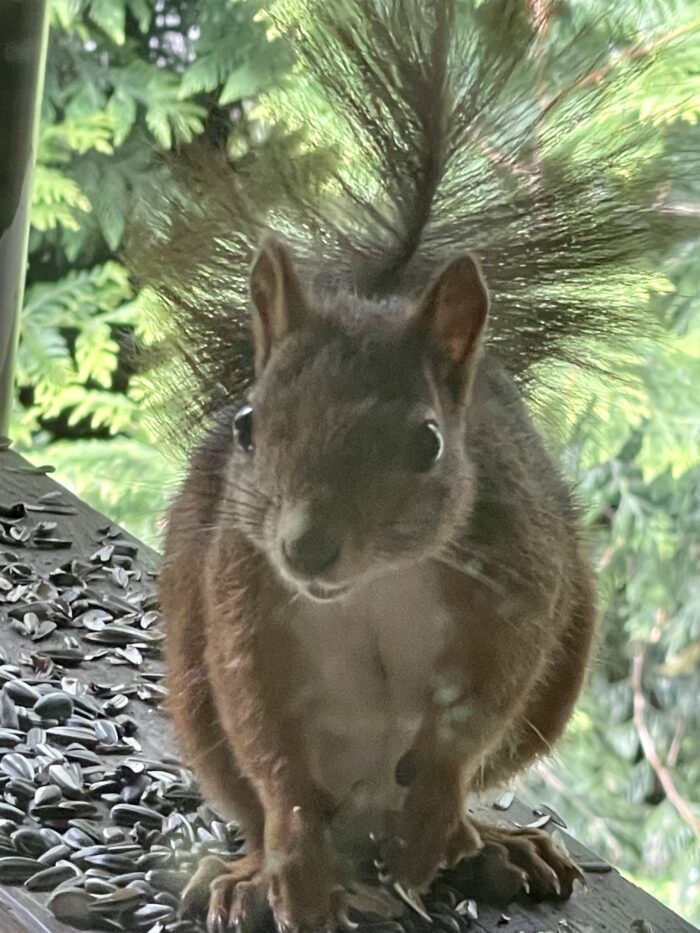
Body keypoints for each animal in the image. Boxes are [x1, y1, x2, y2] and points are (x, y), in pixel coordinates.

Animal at [135, 1, 696, 932]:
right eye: (248, 424)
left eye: (427, 442)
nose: (307, 546)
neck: (373, 581)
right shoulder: (243, 597)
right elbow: (266, 733)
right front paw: (292, 853)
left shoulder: (516, 577)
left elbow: (483, 702)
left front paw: (437, 800)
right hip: (193, 687)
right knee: (249, 791)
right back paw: (253, 871)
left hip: (560, 670)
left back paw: (484, 840)